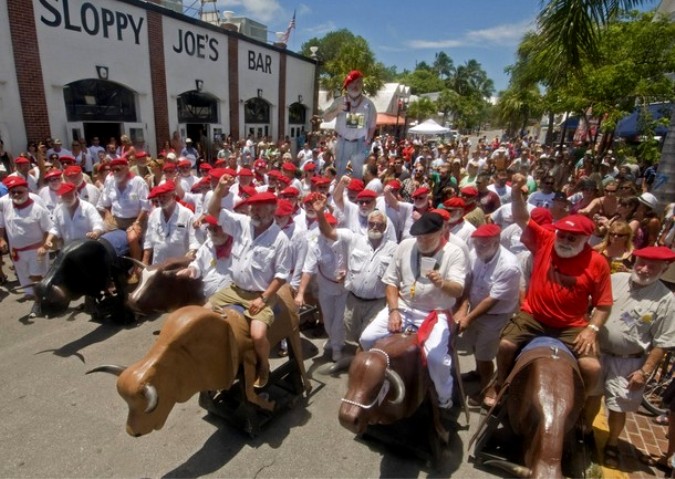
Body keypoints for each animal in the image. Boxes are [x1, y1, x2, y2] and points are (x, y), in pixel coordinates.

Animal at [88, 284, 312, 438]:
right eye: (129, 405)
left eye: (150, 404)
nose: (132, 431)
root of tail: (287, 289)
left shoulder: (247, 361)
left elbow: (250, 394)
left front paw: (270, 404)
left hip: (292, 331)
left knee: (297, 361)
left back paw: (303, 389)